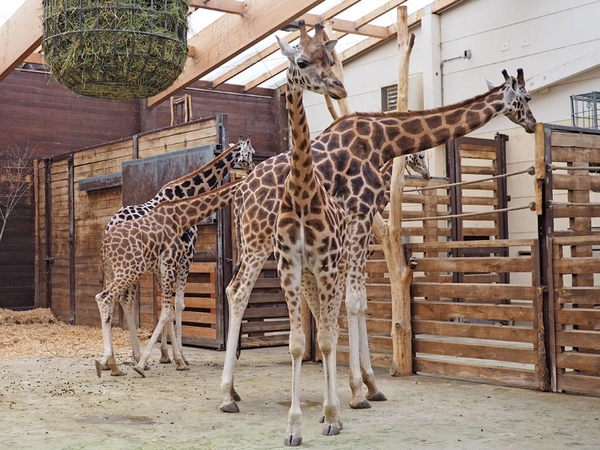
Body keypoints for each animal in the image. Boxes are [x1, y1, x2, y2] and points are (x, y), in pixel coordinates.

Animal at [103, 139, 253, 370]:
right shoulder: (186, 258)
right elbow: (178, 304)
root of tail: (110, 226)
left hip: (116, 268)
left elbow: (164, 306)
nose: (252, 169)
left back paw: (123, 359)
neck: (185, 193)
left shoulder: (163, 264)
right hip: (132, 266)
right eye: (251, 154)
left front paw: (165, 354)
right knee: (124, 299)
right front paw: (179, 355)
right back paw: (135, 357)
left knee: (119, 299)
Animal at [221, 65, 540, 414]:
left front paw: (367, 386)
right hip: (259, 238)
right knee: (238, 291)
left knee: (239, 289)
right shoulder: (360, 215)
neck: (384, 142)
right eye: (526, 98)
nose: (532, 123)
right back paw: (226, 395)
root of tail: (241, 192)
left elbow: (357, 302)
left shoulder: (353, 226)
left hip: (263, 241)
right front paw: (358, 390)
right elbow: (355, 300)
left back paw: (235, 391)